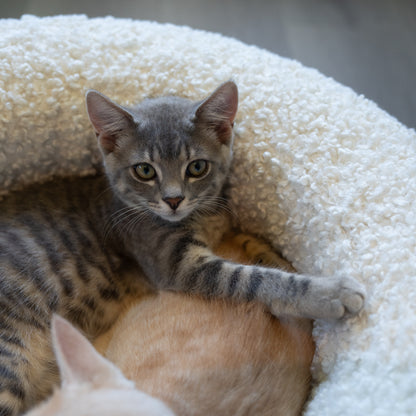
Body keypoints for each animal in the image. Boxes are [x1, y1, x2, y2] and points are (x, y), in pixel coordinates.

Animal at [0, 82, 364, 416]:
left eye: (197, 167)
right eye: (144, 170)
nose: (173, 199)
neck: (201, 218)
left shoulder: (224, 227)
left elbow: (256, 248)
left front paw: (275, 257)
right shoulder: (178, 265)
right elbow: (252, 278)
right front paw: (330, 292)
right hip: (10, 356)